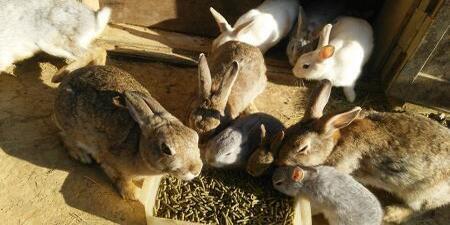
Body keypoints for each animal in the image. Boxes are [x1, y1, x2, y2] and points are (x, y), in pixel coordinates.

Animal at [53, 65, 205, 200]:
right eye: (166, 149)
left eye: (195, 136)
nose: (196, 170)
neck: (139, 148)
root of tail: (64, 83)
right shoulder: (112, 164)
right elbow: (121, 179)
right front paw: (134, 195)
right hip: (71, 127)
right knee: (63, 136)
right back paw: (81, 156)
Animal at [276, 79, 450, 223]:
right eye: (288, 132)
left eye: (302, 148)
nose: (280, 162)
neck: (335, 144)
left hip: (419, 194)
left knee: (419, 209)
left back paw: (391, 213)